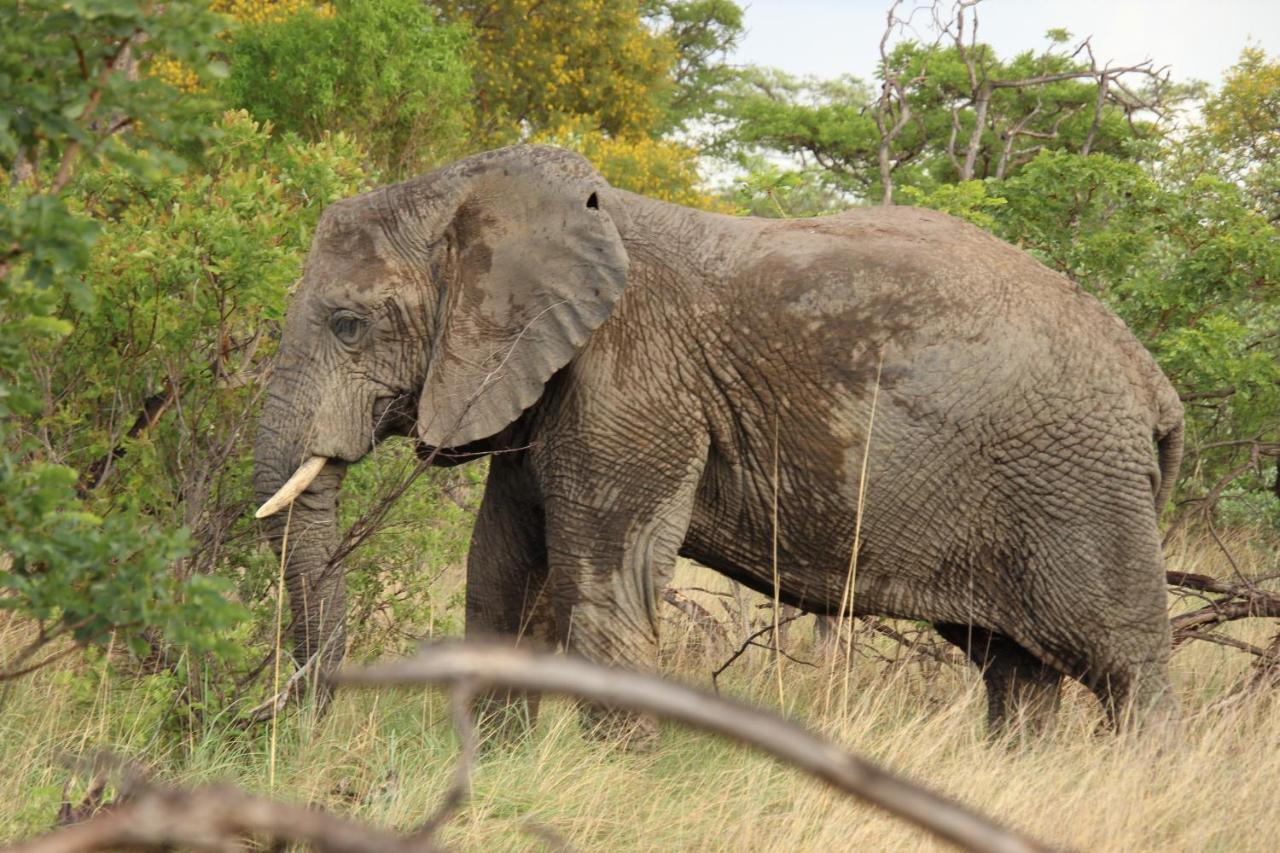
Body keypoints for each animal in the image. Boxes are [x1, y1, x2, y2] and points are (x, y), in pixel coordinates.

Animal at [254, 142, 1182, 732]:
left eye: (346, 323)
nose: (299, 726)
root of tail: (1154, 384)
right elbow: (502, 580)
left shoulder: (634, 383)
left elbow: (605, 592)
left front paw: (610, 784)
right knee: (1014, 669)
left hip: (1078, 488)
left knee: (1123, 663)